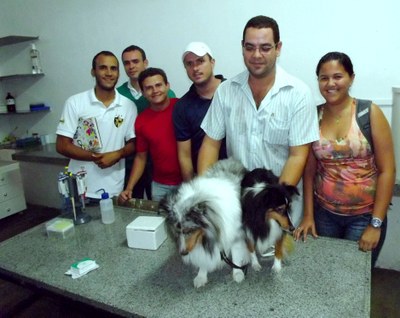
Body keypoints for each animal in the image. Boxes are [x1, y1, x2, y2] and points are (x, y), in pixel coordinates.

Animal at [159, 159, 250, 288]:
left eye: (189, 230)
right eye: (177, 231)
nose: (183, 253)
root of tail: (232, 160)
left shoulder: (235, 234)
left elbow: (236, 254)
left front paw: (238, 274)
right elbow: (203, 258)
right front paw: (201, 277)